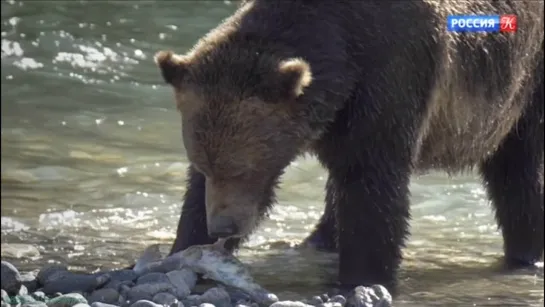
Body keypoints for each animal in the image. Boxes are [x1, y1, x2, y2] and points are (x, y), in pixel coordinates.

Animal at [154, 0, 544, 292]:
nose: (222, 228)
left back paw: (526, 252)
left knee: (517, 171)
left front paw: (363, 277)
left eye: (242, 169)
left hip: (522, 85)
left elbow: (371, 182)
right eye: (203, 164)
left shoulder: (392, 74)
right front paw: (184, 248)